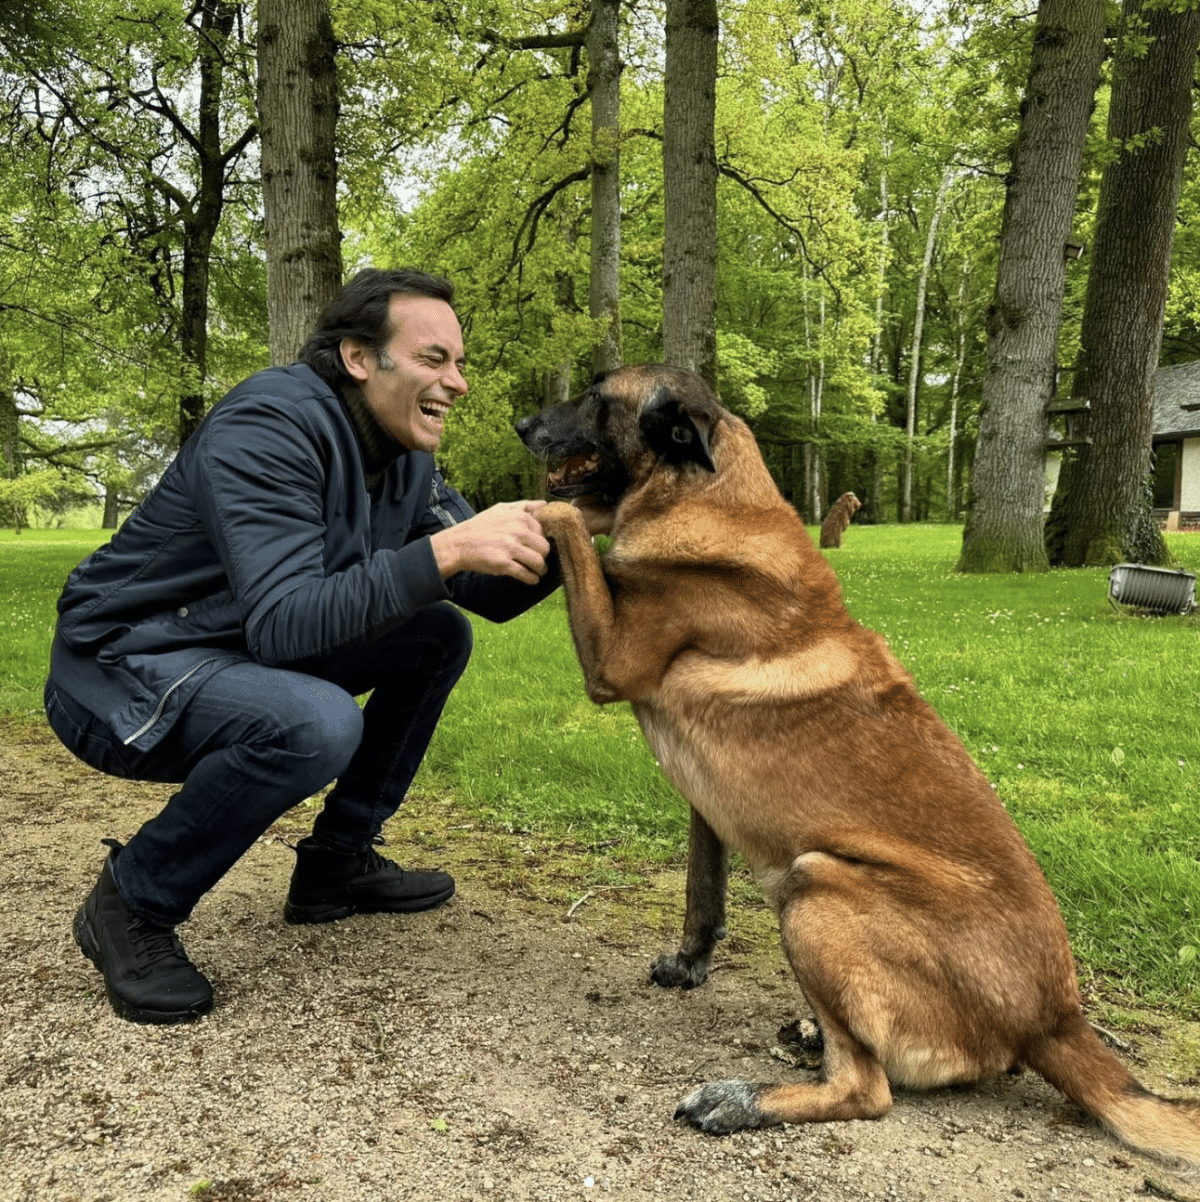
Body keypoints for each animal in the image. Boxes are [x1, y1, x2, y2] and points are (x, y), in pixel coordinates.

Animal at [517, 365, 1200, 1173]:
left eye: (598, 398)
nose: (522, 425)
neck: (705, 497)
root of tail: (1055, 1019)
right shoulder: (705, 809)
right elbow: (701, 894)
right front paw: (689, 962)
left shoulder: (614, 660)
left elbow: (562, 519)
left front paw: (523, 511)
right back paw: (806, 1034)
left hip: (816, 884)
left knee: (867, 1090)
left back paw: (745, 1099)